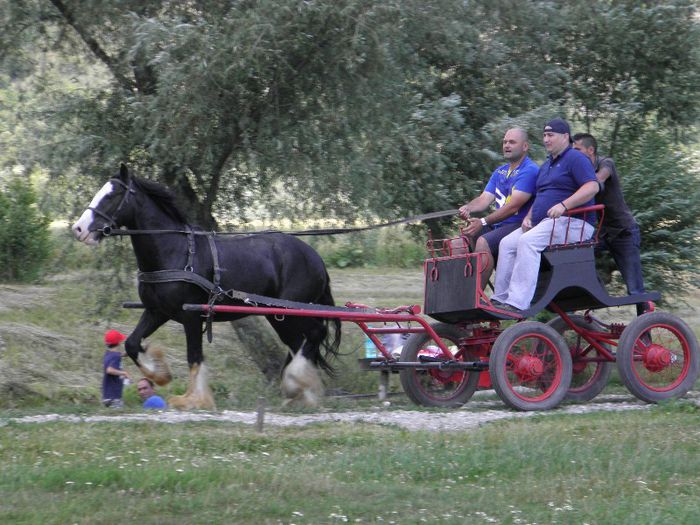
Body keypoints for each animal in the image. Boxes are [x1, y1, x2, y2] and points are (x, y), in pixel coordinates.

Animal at [72, 164, 340, 410]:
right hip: (278, 315)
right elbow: (132, 343)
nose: (78, 229)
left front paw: (194, 399)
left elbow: (194, 357)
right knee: (297, 343)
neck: (175, 252)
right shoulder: (157, 312)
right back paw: (297, 391)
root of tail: (315, 257)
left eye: (112, 195)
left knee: (315, 334)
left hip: (290, 311)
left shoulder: (191, 316)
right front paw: (161, 375)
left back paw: (297, 385)